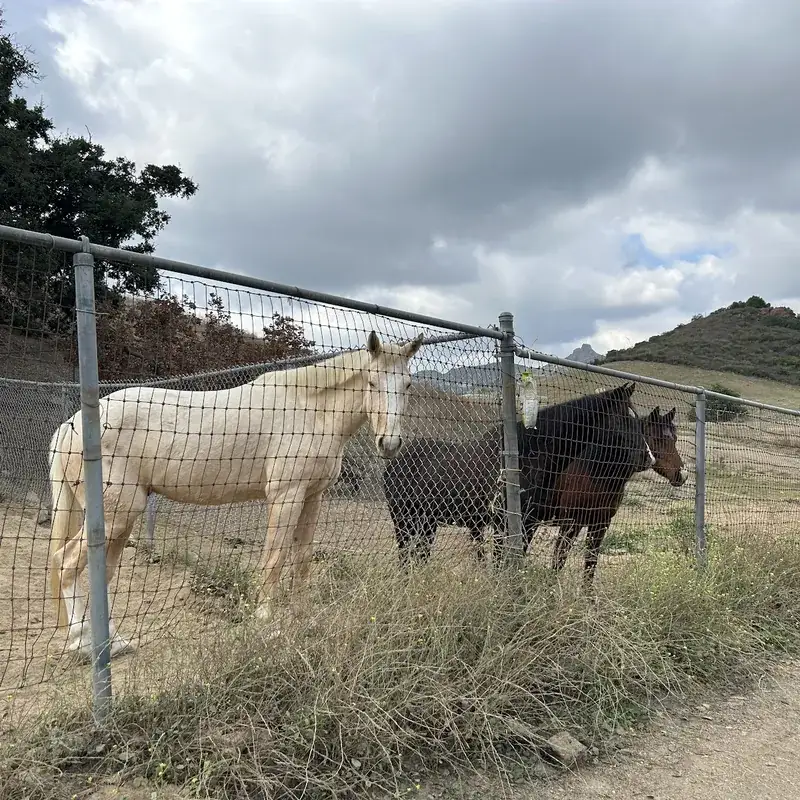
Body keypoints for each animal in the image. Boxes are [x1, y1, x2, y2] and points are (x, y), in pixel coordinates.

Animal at [47, 330, 424, 661]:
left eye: (407, 385)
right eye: (372, 382)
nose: (390, 444)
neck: (310, 409)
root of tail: (69, 425)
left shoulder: (312, 497)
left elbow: (302, 561)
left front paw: (302, 621)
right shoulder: (285, 497)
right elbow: (274, 559)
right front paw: (265, 624)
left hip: (123, 518)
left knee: (100, 573)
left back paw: (112, 641)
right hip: (118, 515)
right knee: (66, 562)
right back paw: (83, 643)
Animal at [382, 382, 639, 569]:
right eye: (624, 420)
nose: (645, 456)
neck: (530, 452)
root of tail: (394, 462)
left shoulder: (530, 523)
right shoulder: (503, 523)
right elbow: (500, 563)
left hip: (428, 521)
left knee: (420, 555)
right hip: (402, 519)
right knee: (405, 556)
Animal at [529, 406, 688, 589]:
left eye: (675, 439)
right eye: (657, 439)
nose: (682, 475)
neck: (596, 473)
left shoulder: (600, 523)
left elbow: (590, 564)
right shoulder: (570, 523)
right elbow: (559, 560)